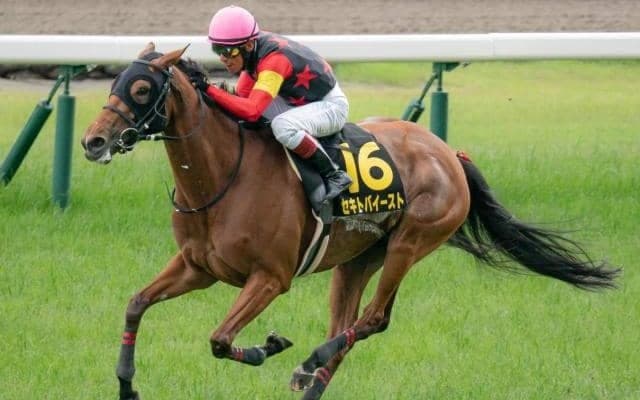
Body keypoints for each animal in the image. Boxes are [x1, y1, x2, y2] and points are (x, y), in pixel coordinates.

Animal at [81, 43, 620, 400]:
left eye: (142, 87)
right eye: (113, 83)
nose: (93, 141)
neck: (223, 176)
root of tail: (449, 153)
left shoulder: (271, 277)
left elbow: (220, 339)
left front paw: (270, 345)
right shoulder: (199, 268)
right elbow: (135, 305)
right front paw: (126, 385)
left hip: (410, 242)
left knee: (373, 319)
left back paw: (309, 362)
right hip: (356, 260)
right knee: (349, 325)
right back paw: (311, 379)